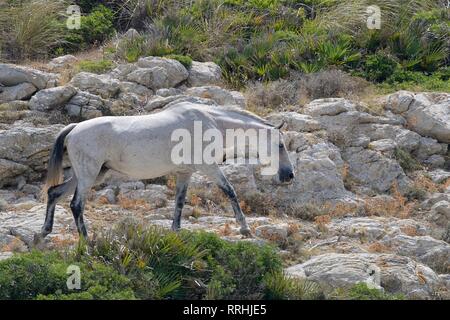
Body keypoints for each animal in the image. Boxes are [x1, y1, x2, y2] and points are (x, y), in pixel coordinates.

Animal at [38, 102, 296, 240]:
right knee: (76, 205)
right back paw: (86, 238)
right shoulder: (209, 168)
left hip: (89, 174)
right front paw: (245, 228)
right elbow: (230, 191)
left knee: (54, 193)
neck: (210, 122)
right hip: (88, 175)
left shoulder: (185, 173)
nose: (289, 175)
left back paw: (44, 231)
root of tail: (74, 129)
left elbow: (179, 201)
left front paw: (176, 230)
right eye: (280, 145)